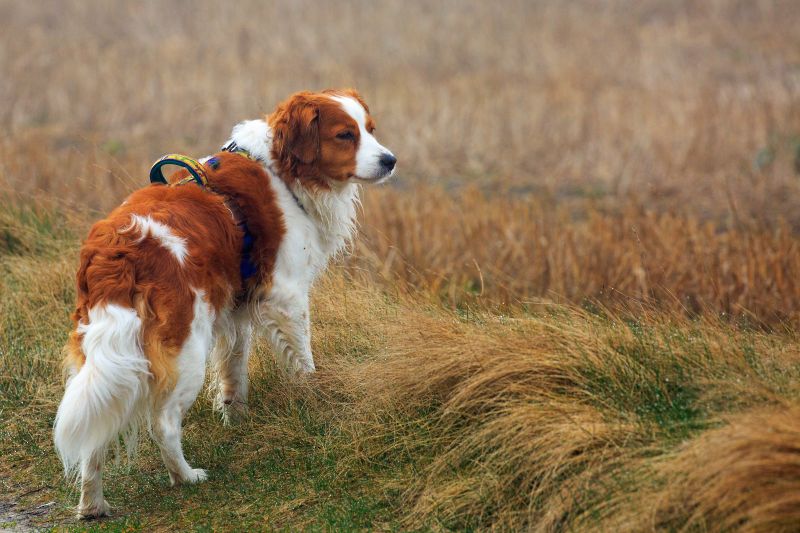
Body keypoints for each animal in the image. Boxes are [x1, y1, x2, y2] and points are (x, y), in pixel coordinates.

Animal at [53, 89, 396, 516]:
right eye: (345, 135)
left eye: (370, 130)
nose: (390, 160)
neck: (283, 172)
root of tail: (118, 250)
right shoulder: (286, 296)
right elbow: (304, 363)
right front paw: (317, 403)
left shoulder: (235, 307)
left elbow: (234, 367)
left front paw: (236, 416)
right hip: (185, 352)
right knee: (163, 424)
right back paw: (185, 477)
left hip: (106, 359)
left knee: (95, 434)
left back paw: (92, 505)